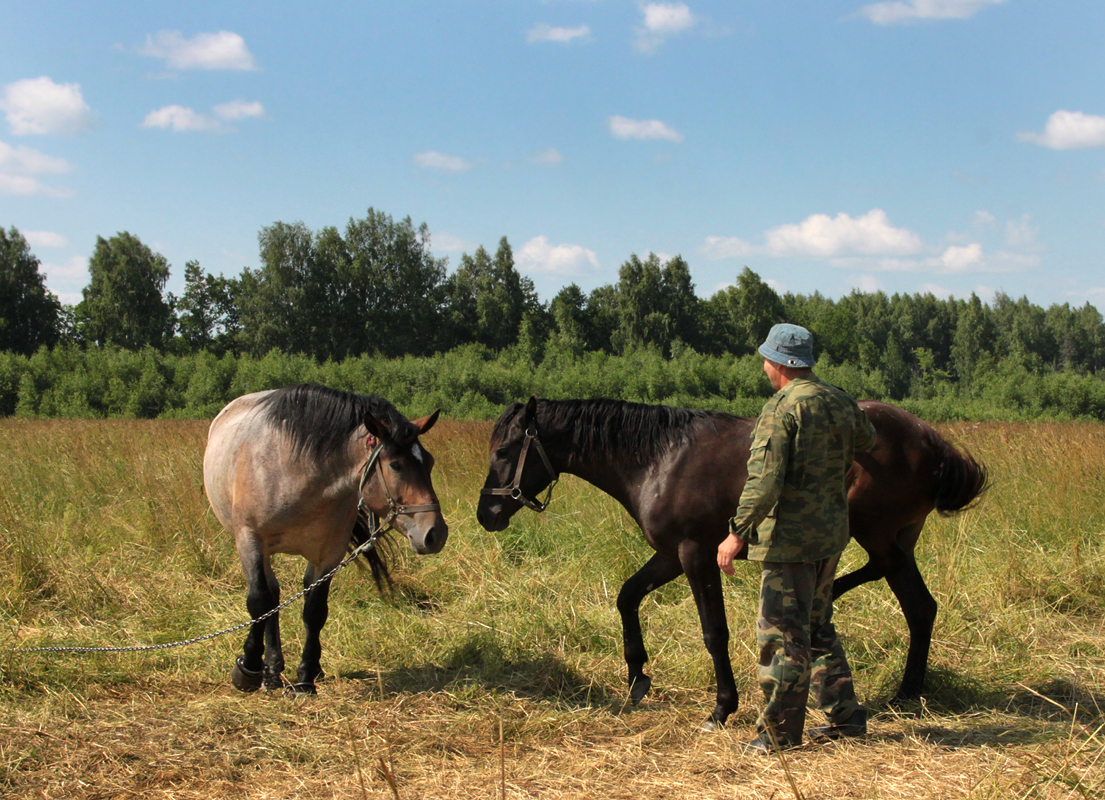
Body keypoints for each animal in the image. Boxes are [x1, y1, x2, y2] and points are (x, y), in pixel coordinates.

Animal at [205, 382, 446, 693]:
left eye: (429, 462)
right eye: (395, 465)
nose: (435, 533)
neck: (296, 471)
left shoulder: (329, 554)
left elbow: (315, 610)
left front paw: (306, 677)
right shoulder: (250, 541)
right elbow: (259, 602)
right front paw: (249, 668)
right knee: (270, 597)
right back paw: (269, 669)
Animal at [475, 397, 985, 729]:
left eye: (503, 451)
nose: (487, 513)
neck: (660, 458)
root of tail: (930, 440)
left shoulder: (695, 554)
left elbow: (712, 632)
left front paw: (722, 707)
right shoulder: (670, 555)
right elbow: (626, 596)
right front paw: (637, 675)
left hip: (881, 539)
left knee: (915, 604)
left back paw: (906, 690)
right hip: (894, 543)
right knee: (917, 605)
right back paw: (903, 684)